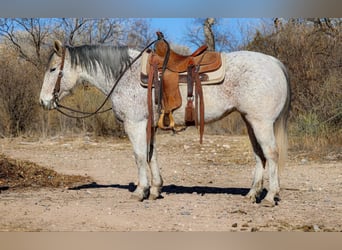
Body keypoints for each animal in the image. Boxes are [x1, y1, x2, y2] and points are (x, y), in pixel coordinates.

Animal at [40, 39, 292, 207]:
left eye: (53, 69)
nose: (43, 101)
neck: (126, 74)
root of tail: (274, 63)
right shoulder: (148, 126)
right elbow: (151, 155)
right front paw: (155, 189)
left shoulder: (135, 124)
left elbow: (139, 156)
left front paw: (140, 191)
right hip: (250, 121)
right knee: (259, 155)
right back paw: (252, 194)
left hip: (261, 123)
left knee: (271, 153)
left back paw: (270, 196)